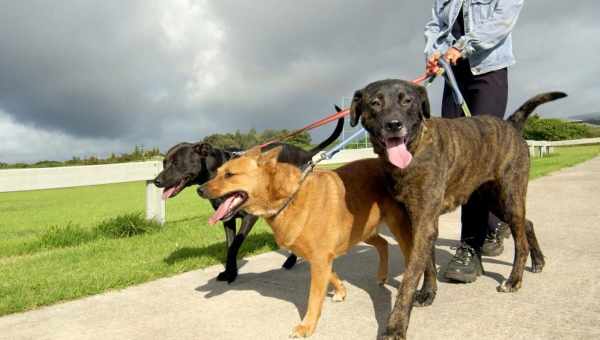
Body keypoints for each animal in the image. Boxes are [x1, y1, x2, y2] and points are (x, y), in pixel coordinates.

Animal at [152, 115, 344, 282]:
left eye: (176, 163)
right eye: (164, 163)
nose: (156, 181)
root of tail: (306, 153)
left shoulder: (249, 216)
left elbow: (235, 244)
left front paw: (232, 274)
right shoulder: (227, 217)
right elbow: (230, 245)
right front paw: (229, 272)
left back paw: (292, 260)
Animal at [198, 146, 412, 338]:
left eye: (229, 174)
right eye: (217, 172)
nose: (199, 190)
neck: (290, 197)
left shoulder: (320, 258)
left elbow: (314, 298)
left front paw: (307, 326)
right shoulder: (318, 257)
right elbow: (331, 276)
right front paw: (341, 291)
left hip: (398, 227)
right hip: (363, 231)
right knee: (383, 244)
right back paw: (382, 275)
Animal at [350, 78, 564, 338]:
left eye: (407, 101)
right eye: (375, 103)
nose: (394, 124)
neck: (414, 150)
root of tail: (510, 125)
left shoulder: (424, 222)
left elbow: (410, 277)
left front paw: (396, 325)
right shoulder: (416, 224)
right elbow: (427, 264)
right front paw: (427, 293)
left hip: (509, 196)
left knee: (520, 240)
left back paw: (514, 279)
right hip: (492, 200)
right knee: (528, 224)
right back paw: (538, 261)